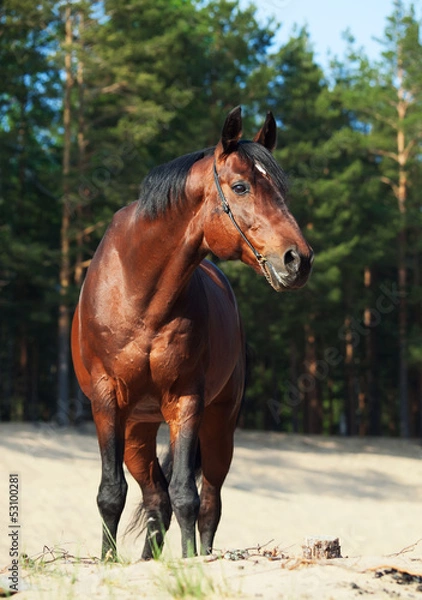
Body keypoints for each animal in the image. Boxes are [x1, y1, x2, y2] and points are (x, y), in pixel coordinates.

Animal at [71, 105, 314, 560]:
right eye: (240, 186)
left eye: (281, 190)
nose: (299, 259)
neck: (138, 294)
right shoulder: (106, 401)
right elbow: (111, 493)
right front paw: (108, 561)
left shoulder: (186, 401)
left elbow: (188, 495)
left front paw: (189, 563)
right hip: (137, 428)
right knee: (155, 498)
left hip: (218, 426)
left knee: (208, 503)